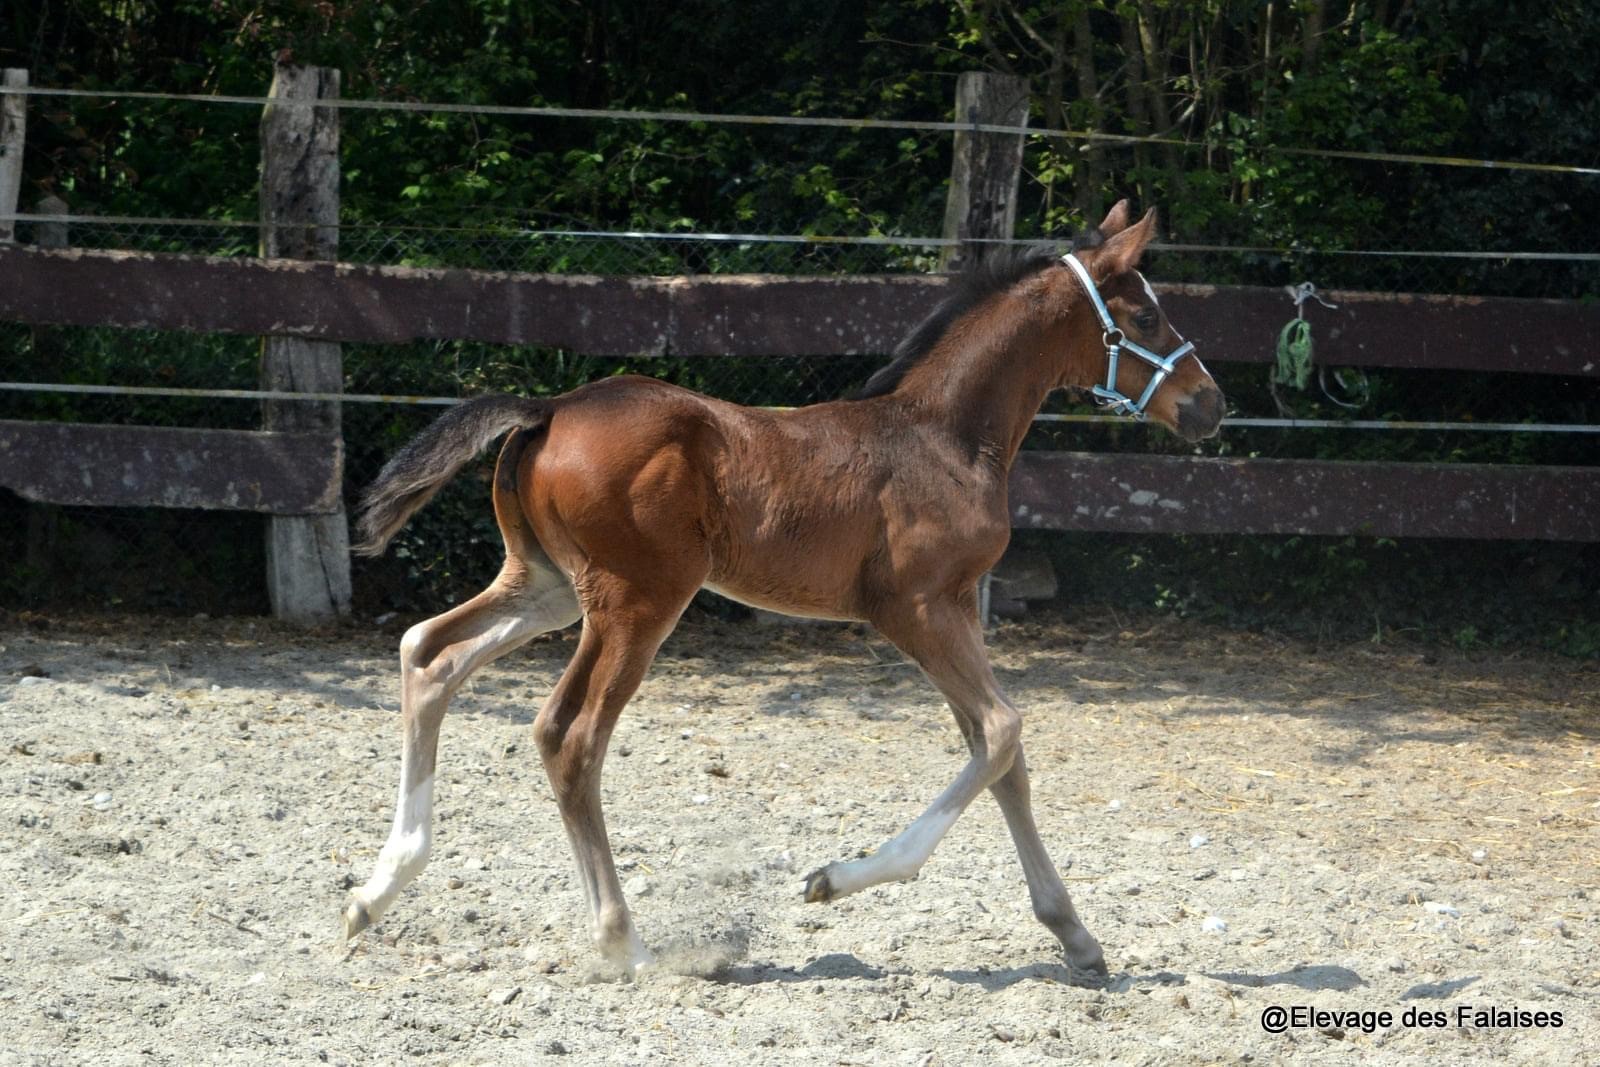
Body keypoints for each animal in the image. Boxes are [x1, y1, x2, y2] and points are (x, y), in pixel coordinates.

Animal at [347, 199, 1222, 979]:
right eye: (1145, 316)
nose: (1210, 403)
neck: (941, 434)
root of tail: (550, 407)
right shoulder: (913, 607)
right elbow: (1003, 729)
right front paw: (833, 878)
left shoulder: (957, 609)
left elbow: (1000, 752)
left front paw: (1076, 934)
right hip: (636, 600)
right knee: (570, 733)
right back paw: (625, 943)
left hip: (547, 585)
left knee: (428, 652)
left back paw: (377, 889)